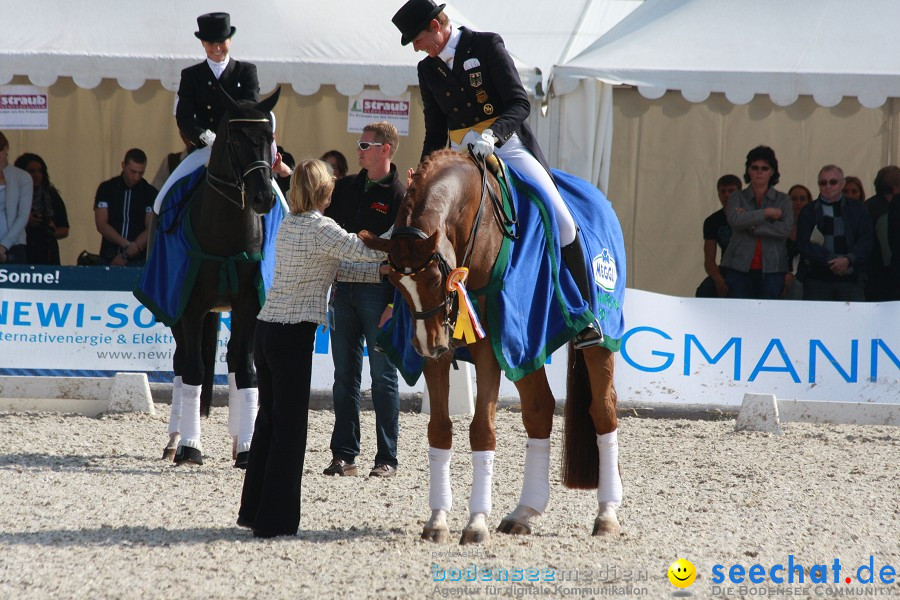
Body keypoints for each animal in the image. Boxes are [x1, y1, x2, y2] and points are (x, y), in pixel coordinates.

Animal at [158, 89, 278, 466]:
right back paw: (174, 441)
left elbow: (247, 372)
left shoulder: (249, 306)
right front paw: (190, 447)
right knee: (182, 364)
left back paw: (238, 439)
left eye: (269, 137)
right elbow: (194, 371)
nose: (263, 198)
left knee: (236, 364)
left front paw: (247, 449)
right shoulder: (190, 306)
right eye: (235, 140)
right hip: (177, 313)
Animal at [362, 152, 624, 548]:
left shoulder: (489, 345)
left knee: (603, 413)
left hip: (596, 339)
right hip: (527, 346)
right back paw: (524, 513)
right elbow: (439, 429)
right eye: (393, 280)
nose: (427, 345)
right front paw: (437, 521)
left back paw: (607, 515)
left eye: (436, 279)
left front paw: (475, 523)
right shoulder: (442, 351)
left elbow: (482, 430)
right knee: (539, 410)